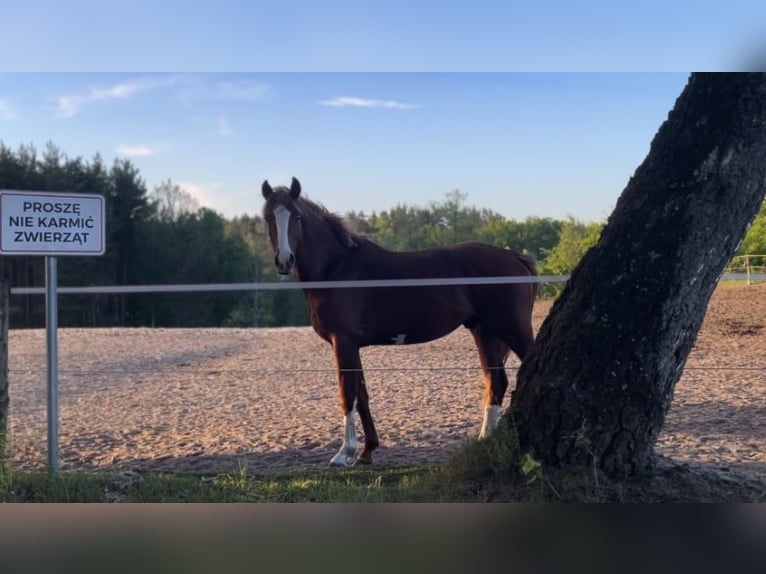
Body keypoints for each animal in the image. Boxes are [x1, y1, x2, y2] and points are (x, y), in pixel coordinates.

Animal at [264, 177, 540, 468]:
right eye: (269, 218)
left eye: (296, 216)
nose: (284, 261)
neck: (336, 269)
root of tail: (517, 258)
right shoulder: (352, 346)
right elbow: (362, 395)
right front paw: (367, 451)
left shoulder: (343, 342)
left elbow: (347, 394)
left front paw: (344, 453)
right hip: (485, 331)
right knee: (495, 382)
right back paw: (484, 440)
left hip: (512, 329)